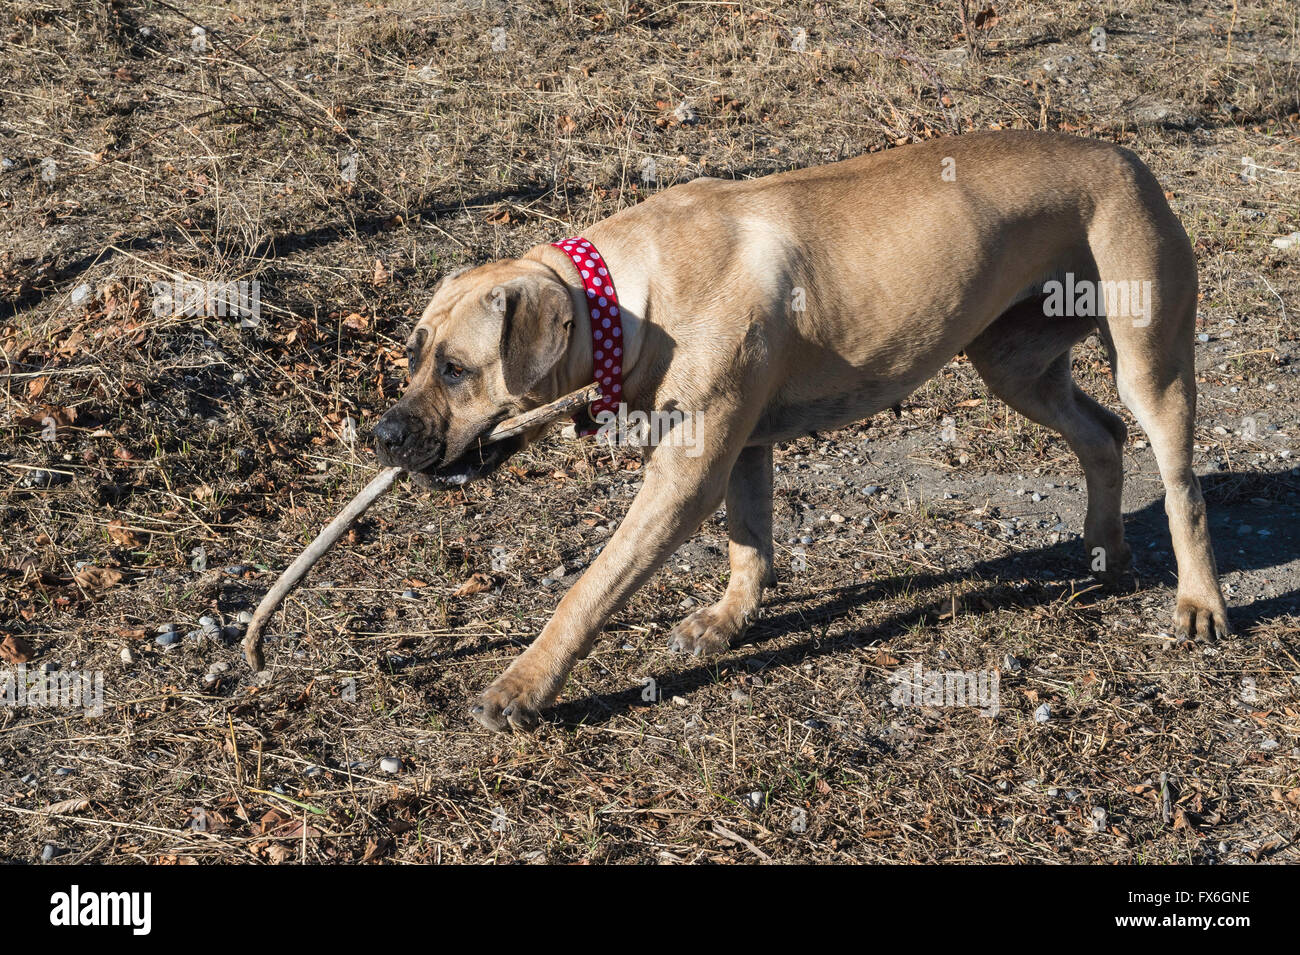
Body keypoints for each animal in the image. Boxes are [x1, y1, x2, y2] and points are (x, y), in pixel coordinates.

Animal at [374, 130, 1227, 732]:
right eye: (413, 354)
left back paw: (1199, 600)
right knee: (1103, 435)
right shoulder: (744, 446)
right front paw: (728, 621)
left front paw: (522, 687)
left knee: (1181, 484)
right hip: (1016, 366)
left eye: (455, 368)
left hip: (1149, 362)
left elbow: (588, 590)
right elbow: (749, 546)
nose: (381, 436)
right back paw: (1104, 547)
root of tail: (1128, 156)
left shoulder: (687, 473)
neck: (622, 295)